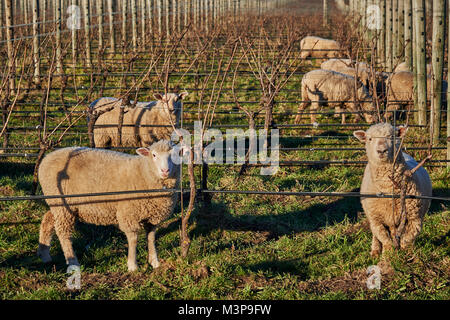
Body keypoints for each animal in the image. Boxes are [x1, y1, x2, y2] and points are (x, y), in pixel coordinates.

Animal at [37, 139, 181, 272]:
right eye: (154, 155)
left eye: (175, 155)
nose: (165, 170)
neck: (144, 172)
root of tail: (46, 159)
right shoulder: (128, 214)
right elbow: (133, 239)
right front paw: (132, 266)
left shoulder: (152, 217)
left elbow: (151, 237)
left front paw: (155, 262)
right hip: (62, 204)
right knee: (63, 232)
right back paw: (73, 262)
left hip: (60, 205)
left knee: (47, 220)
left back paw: (45, 255)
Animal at [354, 123, 434, 258]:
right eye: (370, 139)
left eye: (391, 136)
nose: (381, 150)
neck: (388, 189)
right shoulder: (376, 220)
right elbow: (384, 239)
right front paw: (388, 256)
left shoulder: (415, 218)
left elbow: (407, 239)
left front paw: (406, 254)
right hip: (372, 216)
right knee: (376, 235)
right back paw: (375, 250)